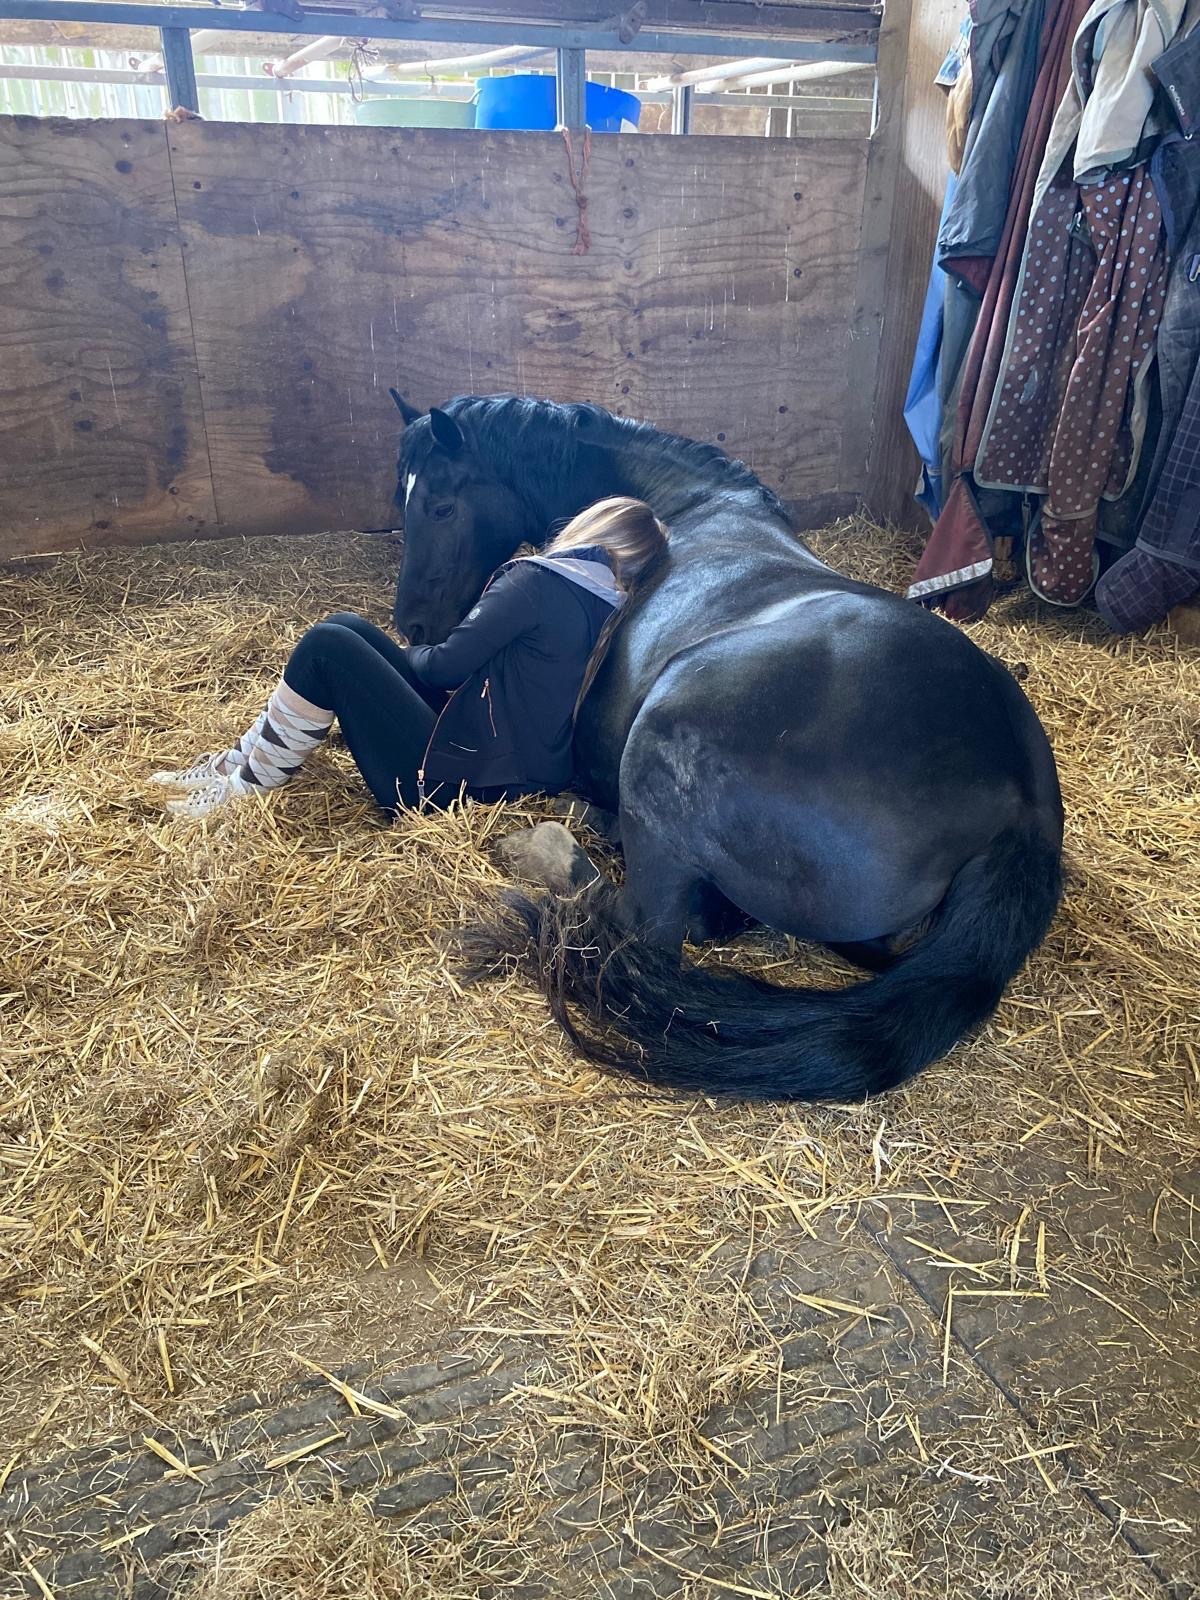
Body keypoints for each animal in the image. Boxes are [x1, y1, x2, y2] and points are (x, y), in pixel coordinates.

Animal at [389, 390, 1063, 1102]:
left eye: (440, 505)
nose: (414, 625)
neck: (687, 504)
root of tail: (1022, 809)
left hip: (661, 746)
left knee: (649, 925)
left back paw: (551, 842)